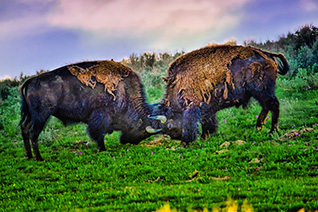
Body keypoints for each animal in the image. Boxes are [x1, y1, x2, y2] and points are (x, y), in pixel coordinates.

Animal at [19, 58, 166, 160]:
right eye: (142, 132)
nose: (129, 142)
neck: (124, 89)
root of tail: (30, 81)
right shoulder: (101, 117)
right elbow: (98, 134)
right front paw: (103, 149)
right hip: (41, 116)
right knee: (33, 133)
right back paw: (39, 158)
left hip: (32, 116)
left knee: (24, 129)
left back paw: (29, 156)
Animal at [160, 44, 290, 144]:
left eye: (169, 125)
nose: (175, 138)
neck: (178, 86)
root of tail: (266, 54)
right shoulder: (208, 109)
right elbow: (209, 122)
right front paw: (205, 137)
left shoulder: (193, 107)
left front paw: (187, 142)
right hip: (259, 93)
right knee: (267, 106)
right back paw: (259, 127)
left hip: (261, 91)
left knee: (273, 105)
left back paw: (272, 131)